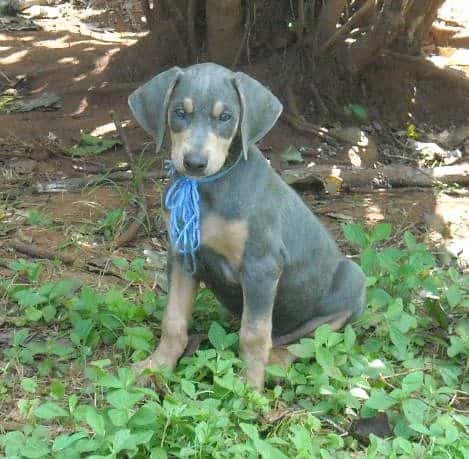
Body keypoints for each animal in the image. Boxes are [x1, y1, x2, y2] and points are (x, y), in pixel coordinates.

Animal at [128, 63, 366, 390]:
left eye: (225, 117)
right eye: (179, 112)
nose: (194, 163)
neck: (209, 190)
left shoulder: (261, 266)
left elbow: (253, 335)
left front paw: (249, 388)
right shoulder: (182, 256)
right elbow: (173, 320)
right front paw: (157, 367)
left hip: (353, 280)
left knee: (311, 339)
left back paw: (276, 360)